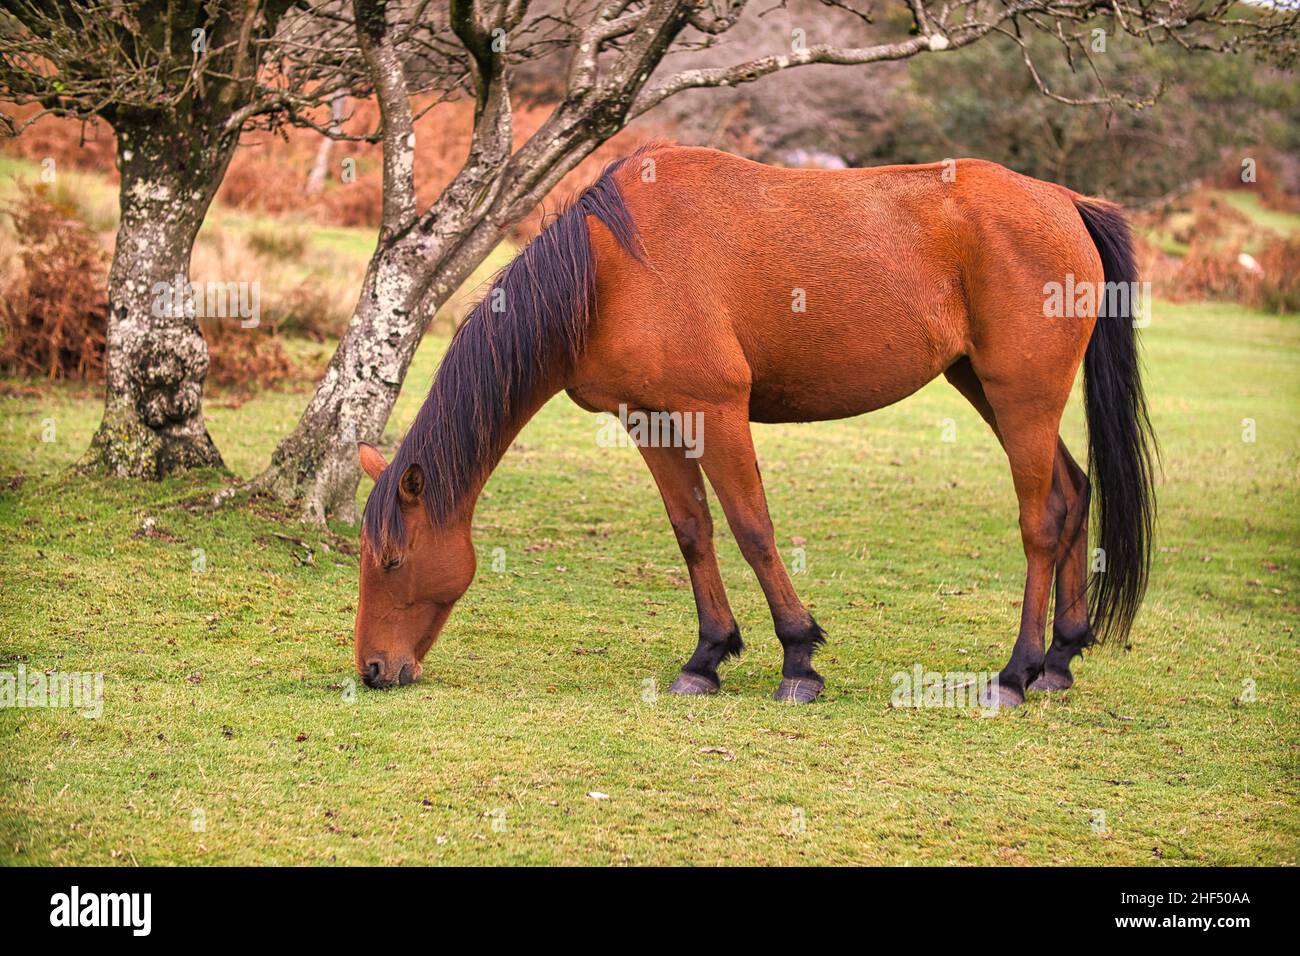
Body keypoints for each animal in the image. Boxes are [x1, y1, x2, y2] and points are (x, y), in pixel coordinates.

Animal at [351, 143, 1154, 712]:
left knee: (1042, 519)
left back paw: (1014, 674)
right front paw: (707, 657)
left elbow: (753, 528)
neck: (613, 267)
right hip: (988, 388)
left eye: (391, 561)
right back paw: (1059, 661)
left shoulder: (718, 412)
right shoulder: (651, 421)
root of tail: (1064, 201)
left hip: (1022, 397)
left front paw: (799, 658)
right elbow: (693, 531)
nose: (374, 670)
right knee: (1074, 493)